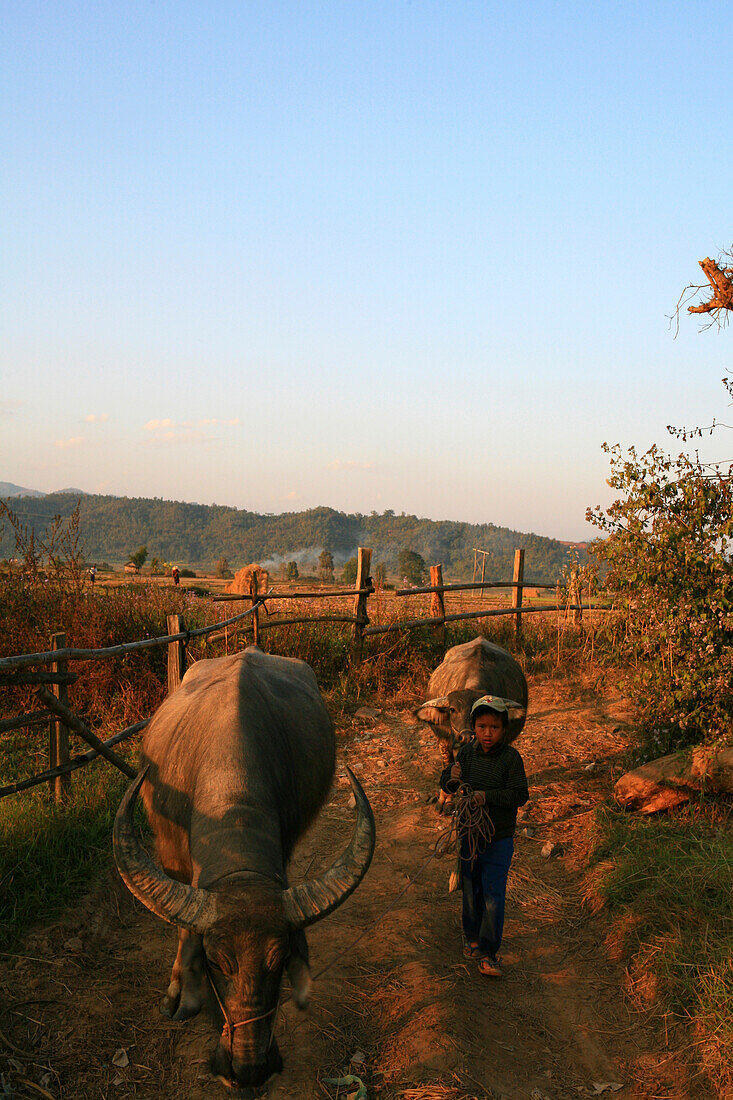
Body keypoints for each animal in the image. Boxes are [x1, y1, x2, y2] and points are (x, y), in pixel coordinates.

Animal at [115, 646, 376, 1086]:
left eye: (281, 961)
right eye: (216, 963)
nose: (250, 1070)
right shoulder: (170, 857)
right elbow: (183, 933)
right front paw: (179, 994)